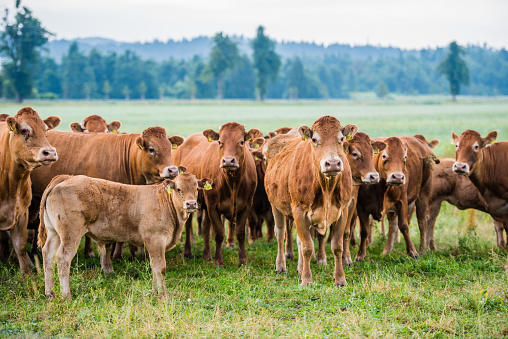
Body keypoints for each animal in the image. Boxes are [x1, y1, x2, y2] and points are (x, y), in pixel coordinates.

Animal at [0, 107, 60, 274]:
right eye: (24, 130)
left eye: (46, 130)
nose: (50, 152)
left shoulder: (22, 212)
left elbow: (20, 246)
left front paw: (27, 274)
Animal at [38, 171, 210, 298]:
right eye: (179, 189)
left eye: (196, 189)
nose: (191, 204)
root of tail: (66, 178)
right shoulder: (155, 240)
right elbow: (160, 267)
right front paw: (163, 295)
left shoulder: (153, 244)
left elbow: (154, 266)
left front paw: (155, 292)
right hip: (70, 234)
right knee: (62, 258)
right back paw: (66, 295)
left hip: (54, 233)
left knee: (48, 255)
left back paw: (50, 293)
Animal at [173, 122, 262, 266]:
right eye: (220, 142)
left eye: (241, 142)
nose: (228, 161)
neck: (232, 182)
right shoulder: (213, 206)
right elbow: (219, 233)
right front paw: (218, 260)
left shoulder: (246, 205)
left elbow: (240, 233)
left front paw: (243, 259)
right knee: (188, 225)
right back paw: (188, 252)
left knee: (205, 227)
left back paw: (206, 254)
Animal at [266, 117, 358, 286]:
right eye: (315, 140)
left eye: (341, 139)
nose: (332, 163)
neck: (326, 187)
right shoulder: (299, 211)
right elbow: (307, 247)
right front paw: (307, 279)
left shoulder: (343, 211)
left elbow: (337, 247)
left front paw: (340, 279)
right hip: (275, 205)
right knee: (280, 234)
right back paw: (281, 266)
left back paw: (299, 267)